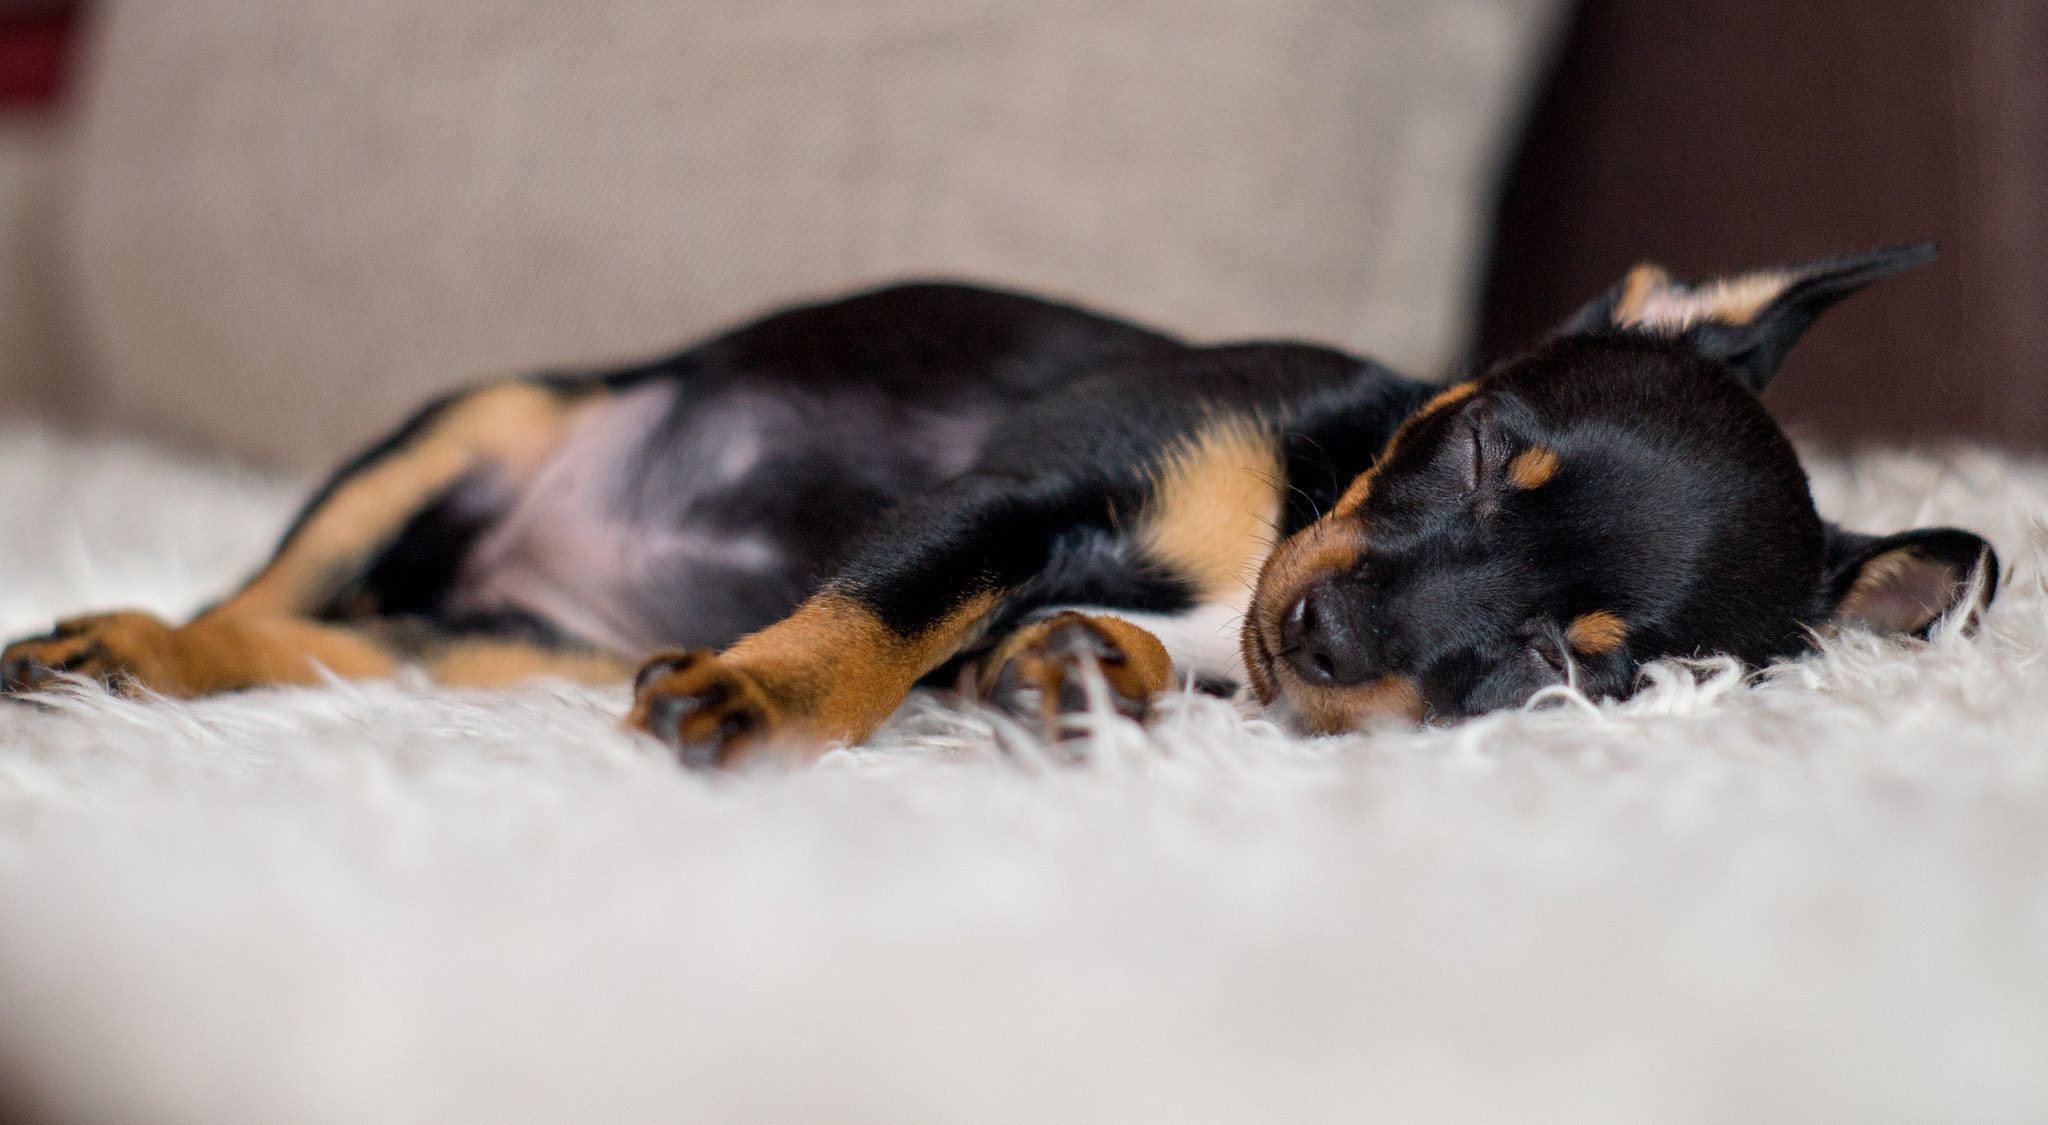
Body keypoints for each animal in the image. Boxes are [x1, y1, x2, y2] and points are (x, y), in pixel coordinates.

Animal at [0, 243, 1990, 762]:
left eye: (1570, 667)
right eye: (1486, 442)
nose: (1323, 628)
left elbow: (1028, 645)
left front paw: (1069, 672)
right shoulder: (1009, 494)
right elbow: (882, 616)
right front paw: (765, 702)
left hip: (494, 647)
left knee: (335, 645)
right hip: (464, 432)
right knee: (257, 605)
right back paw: (130, 644)